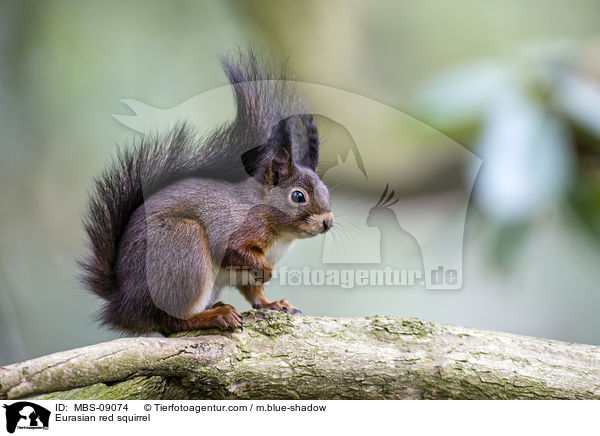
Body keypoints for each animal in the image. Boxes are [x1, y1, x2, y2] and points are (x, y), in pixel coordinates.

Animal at [79, 50, 332, 334]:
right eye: (298, 196)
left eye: (325, 190)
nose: (328, 222)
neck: (281, 234)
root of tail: (123, 303)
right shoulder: (234, 227)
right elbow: (234, 251)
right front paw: (266, 271)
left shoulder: (250, 273)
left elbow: (254, 292)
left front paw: (274, 304)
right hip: (182, 247)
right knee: (171, 320)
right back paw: (214, 316)